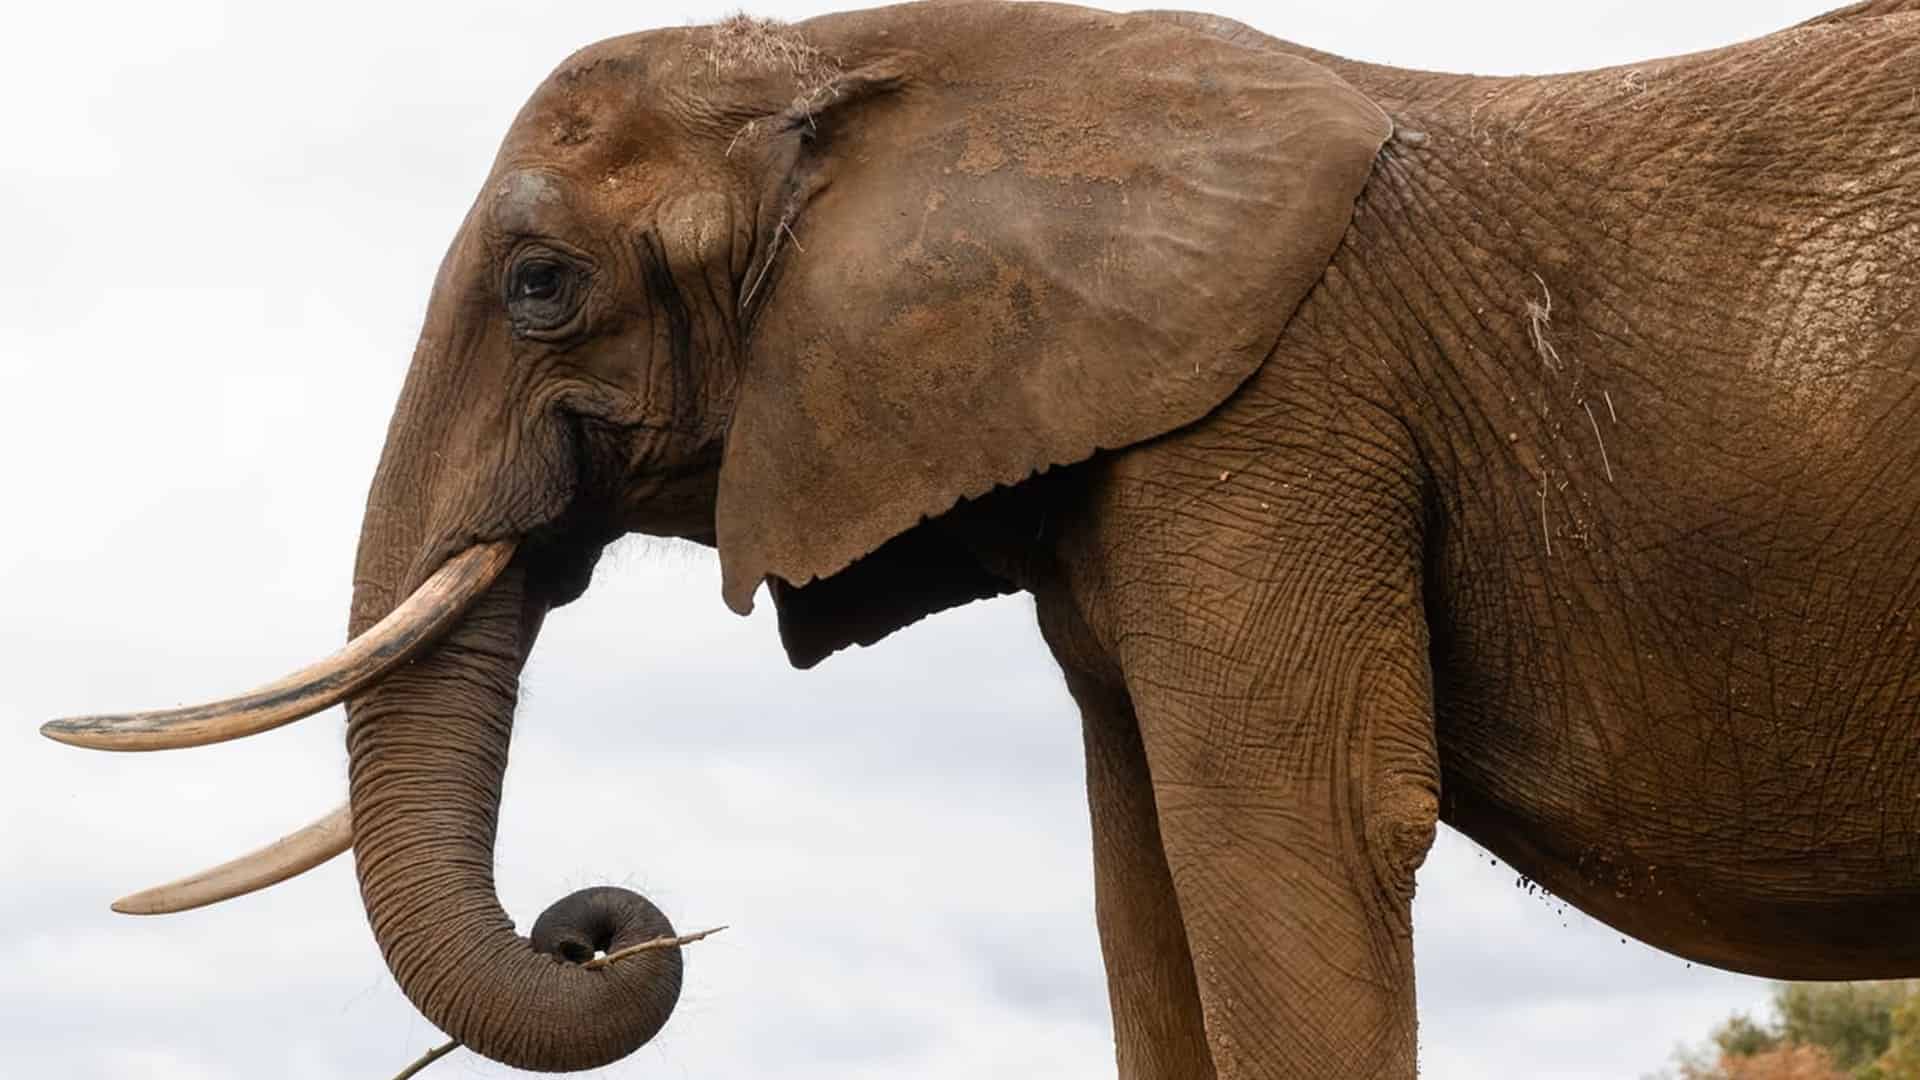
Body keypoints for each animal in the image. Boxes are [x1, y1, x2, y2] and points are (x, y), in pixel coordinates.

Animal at [41, 0, 1920, 1075]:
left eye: (542, 286)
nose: (609, 928)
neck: (882, 59)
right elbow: (1143, 885)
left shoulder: (1268, 423)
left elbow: (1293, 841)